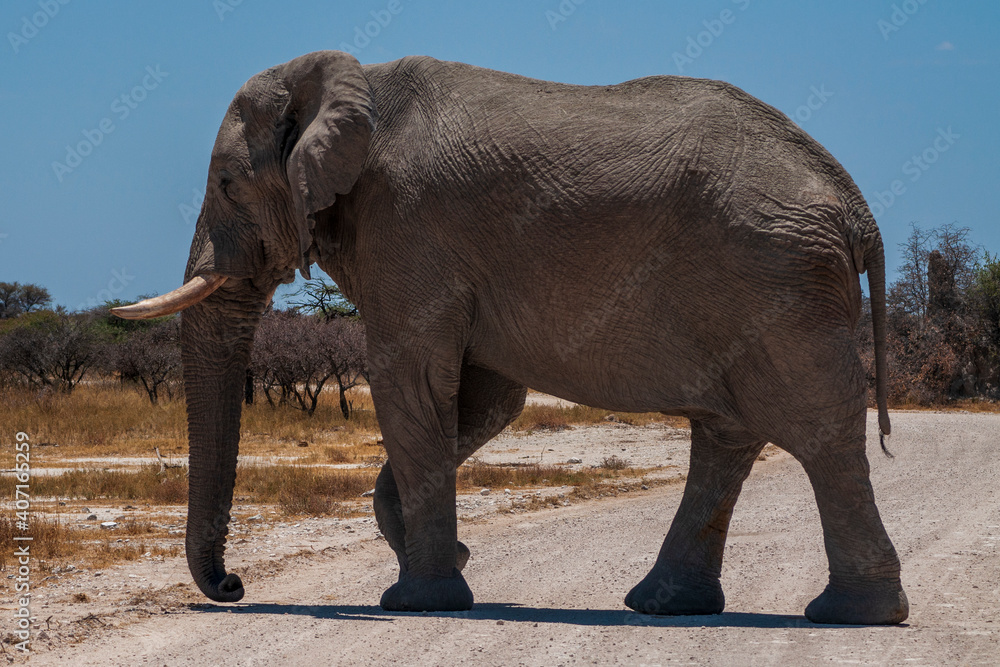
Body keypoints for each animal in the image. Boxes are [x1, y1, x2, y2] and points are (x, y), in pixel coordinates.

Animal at [114, 50, 908, 625]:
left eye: (226, 183)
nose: (234, 586)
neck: (352, 79)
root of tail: (856, 207)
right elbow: (482, 400)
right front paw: (449, 561)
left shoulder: (408, 227)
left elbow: (411, 384)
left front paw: (419, 599)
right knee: (727, 435)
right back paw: (665, 605)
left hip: (780, 282)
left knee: (816, 428)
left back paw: (853, 615)